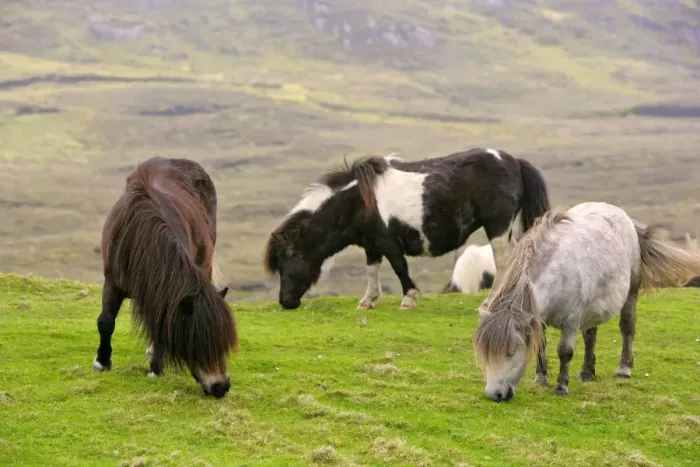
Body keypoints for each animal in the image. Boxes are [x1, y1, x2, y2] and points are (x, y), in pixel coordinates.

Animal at [94, 157, 238, 398]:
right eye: (199, 341)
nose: (221, 387)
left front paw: (155, 368)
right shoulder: (112, 281)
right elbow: (106, 321)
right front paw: (102, 362)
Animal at [262, 147, 551, 310]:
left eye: (287, 261)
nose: (285, 302)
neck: (358, 201)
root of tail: (513, 162)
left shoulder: (388, 241)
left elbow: (400, 267)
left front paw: (409, 299)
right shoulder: (371, 244)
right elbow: (372, 270)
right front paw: (367, 301)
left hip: (498, 228)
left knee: (503, 264)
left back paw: (490, 303)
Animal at [473, 201, 700, 402]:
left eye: (511, 352)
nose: (494, 395)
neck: (557, 272)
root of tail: (624, 217)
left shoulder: (571, 321)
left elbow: (565, 352)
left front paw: (561, 387)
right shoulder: (539, 319)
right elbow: (540, 345)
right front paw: (541, 377)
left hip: (630, 294)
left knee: (627, 328)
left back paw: (623, 368)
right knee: (591, 335)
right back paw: (587, 372)